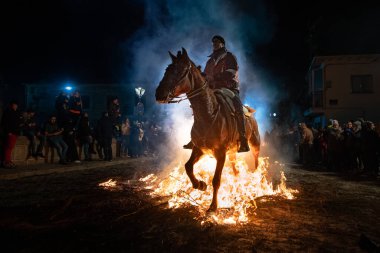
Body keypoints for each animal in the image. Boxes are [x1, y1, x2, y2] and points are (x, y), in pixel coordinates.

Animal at [156, 47, 260, 211]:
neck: (209, 116)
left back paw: (255, 174)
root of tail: (249, 111)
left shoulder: (220, 154)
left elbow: (216, 180)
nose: (159, 94)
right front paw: (200, 184)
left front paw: (213, 206)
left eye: (180, 71)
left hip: (255, 143)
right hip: (232, 152)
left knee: (256, 159)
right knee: (235, 170)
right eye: (167, 70)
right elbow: (188, 167)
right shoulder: (200, 149)